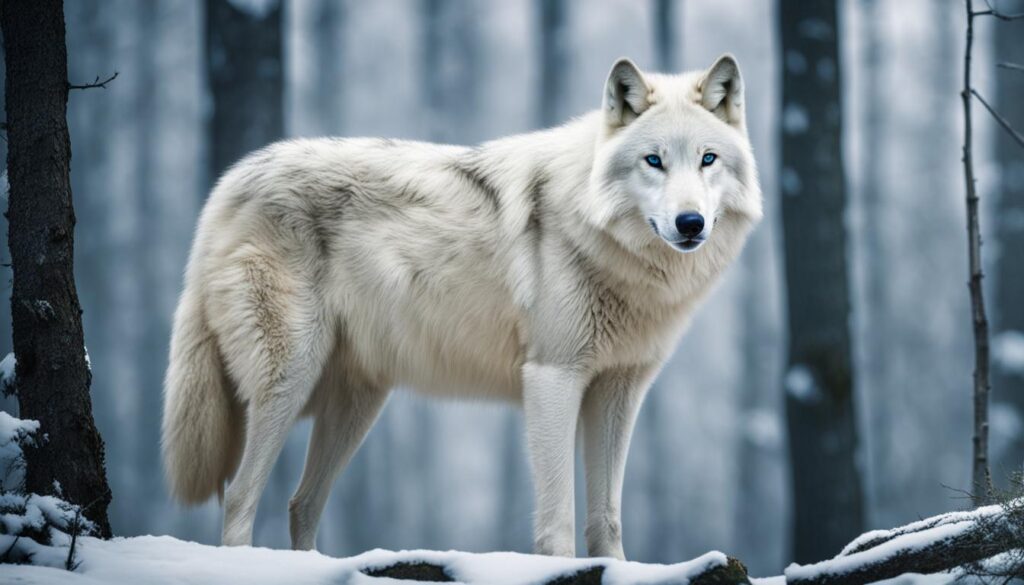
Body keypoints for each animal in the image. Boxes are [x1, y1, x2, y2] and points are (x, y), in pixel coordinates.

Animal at [161, 53, 761, 557]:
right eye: (653, 161)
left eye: (707, 160)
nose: (690, 223)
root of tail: (228, 183)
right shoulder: (552, 377)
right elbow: (559, 521)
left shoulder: (619, 389)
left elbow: (606, 519)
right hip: (289, 380)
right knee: (241, 497)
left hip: (356, 404)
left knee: (300, 504)